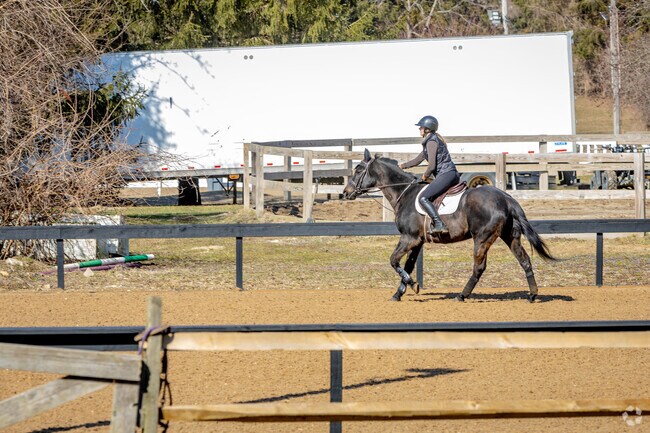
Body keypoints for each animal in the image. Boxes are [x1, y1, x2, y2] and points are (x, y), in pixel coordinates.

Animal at [342, 149, 556, 302]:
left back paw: (462, 295)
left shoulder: (409, 238)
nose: (345, 193)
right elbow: (408, 265)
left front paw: (413, 285)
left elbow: (394, 261)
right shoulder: (417, 241)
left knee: (479, 268)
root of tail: (506, 198)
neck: (404, 192)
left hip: (482, 238)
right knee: (524, 260)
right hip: (510, 236)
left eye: (359, 170)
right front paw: (399, 293)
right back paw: (532, 295)